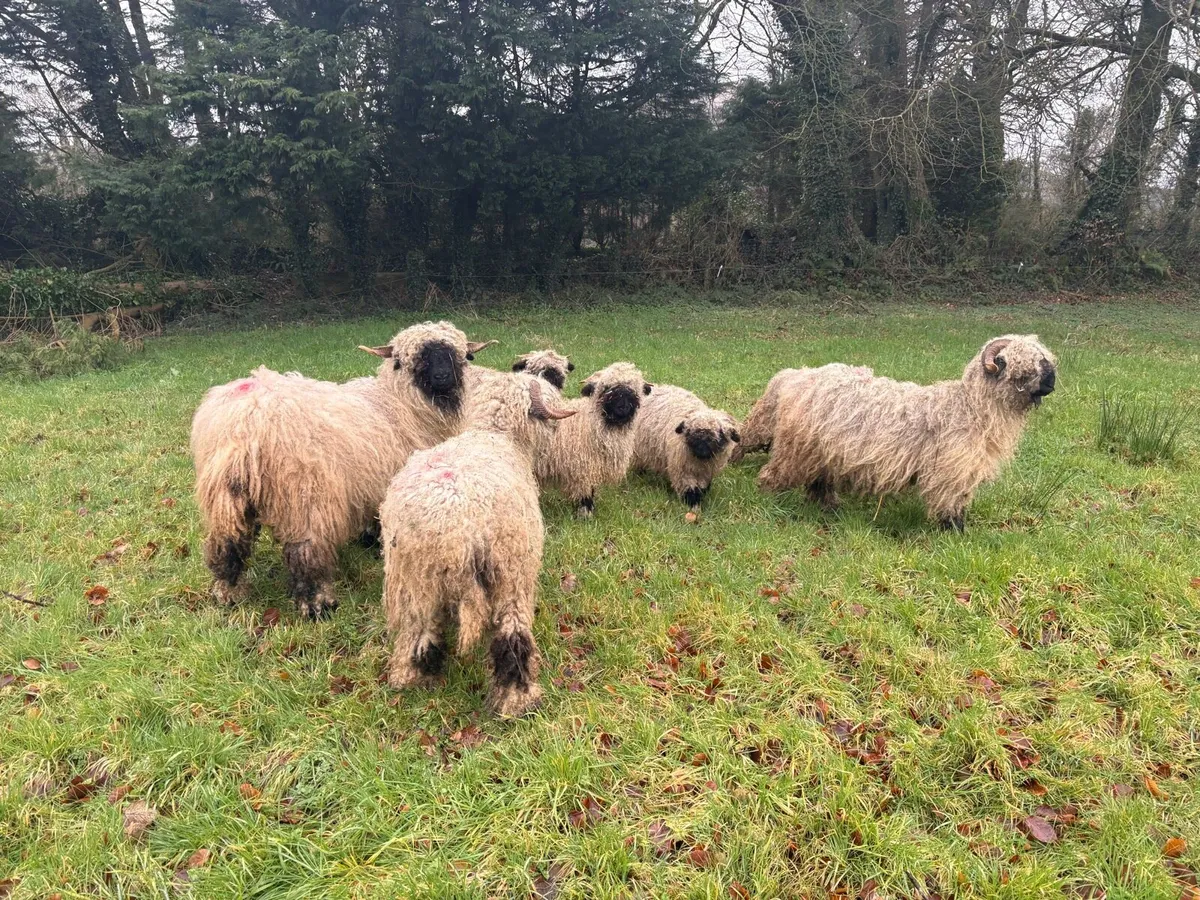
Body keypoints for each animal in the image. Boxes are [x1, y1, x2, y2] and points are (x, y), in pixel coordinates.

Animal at [191, 321, 494, 619]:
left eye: (462, 355)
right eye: (409, 359)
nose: (443, 377)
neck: (398, 403)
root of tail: (246, 422)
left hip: (224, 495)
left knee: (227, 542)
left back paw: (228, 593)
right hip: (305, 495)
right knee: (306, 551)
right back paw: (318, 604)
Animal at [380, 373, 576, 717]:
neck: (496, 436)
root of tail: (456, 525)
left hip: (415, 577)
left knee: (419, 629)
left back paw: (412, 677)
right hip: (510, 571)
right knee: (513, 637)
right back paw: (518, 700)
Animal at [533, 362, 652, 517]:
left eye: (634, 389)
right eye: (607, 388)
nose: (622, 408)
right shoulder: (582, 467)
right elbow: (585, 492)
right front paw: (586, 513)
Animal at [756, 335, 1057, 531]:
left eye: (1045, 361)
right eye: (1028, 364)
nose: (1052, 382)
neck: (969, 407)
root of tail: (797, 377)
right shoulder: (951, 471)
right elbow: (950, 503)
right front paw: (955, 533)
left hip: (822, 451)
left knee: (818, 481)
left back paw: (829, 507)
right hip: (797, 449)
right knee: (772, 476)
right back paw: (773, 503)